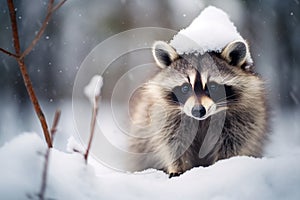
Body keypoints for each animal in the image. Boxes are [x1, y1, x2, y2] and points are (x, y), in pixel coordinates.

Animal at [127, 39, 268, 177]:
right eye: (185, 88)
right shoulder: (166, 116)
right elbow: (173, 142)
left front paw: (224, 163)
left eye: (213, 87)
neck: (203, 120)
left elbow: (235, 141)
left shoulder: (242, 116)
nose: (198, 111)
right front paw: (177, 166)